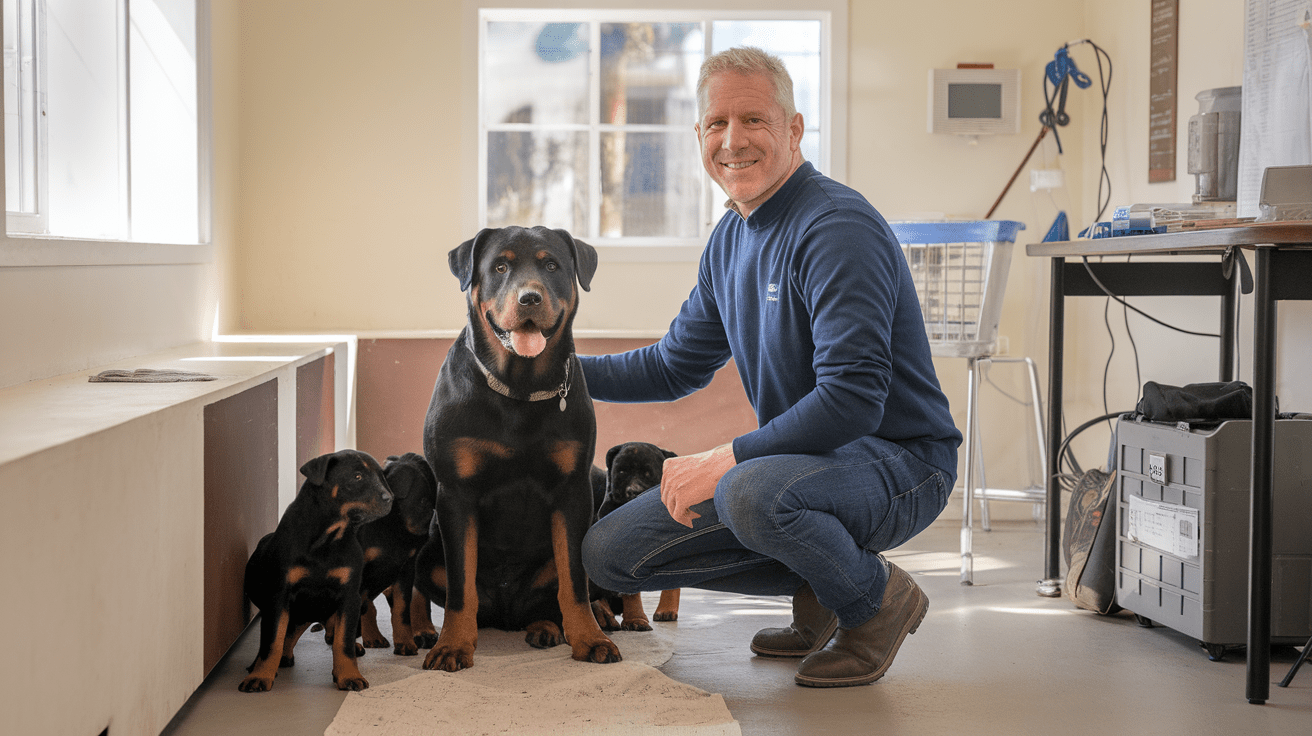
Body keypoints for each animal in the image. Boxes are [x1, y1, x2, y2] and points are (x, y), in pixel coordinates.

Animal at [237, 448, 390, 687]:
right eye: (357, 477)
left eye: (381, 477)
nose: (390, 499)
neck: (327, 537)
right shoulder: (279, 595)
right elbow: (272, 639)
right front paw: (260, 676)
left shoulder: (349, 597)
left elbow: (343, 641)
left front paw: (349, 675)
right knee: (285, 633)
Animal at [419, 225, 624, 671]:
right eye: (499, 267)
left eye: (551, 265)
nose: (529, 298)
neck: (520, 386)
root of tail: (507, 614)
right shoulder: (456, 495)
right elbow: (460, 586)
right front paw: (452, 645)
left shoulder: (573, 491)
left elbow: (574, 579)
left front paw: (588, 638)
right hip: (427, 558)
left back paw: (559, 625)